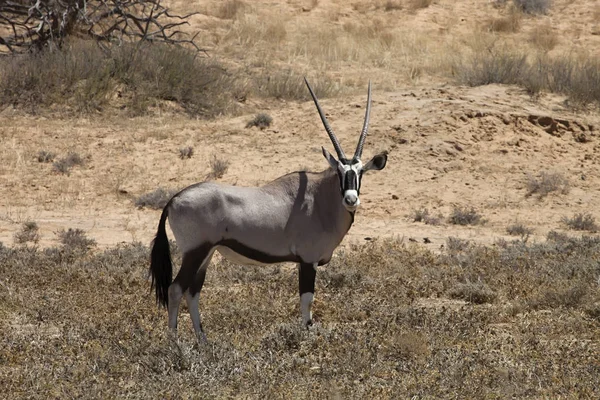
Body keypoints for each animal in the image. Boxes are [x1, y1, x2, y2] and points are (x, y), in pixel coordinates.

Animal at [148, 77, 386, 338]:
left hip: (206, 253)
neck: (320, 198)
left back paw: (203, 340)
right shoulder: (307, 260)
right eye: (340, 172)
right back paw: (175, 341)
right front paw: (306, 337)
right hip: (195, 251)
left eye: (360, 172)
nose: (351, 199)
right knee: (175, 289)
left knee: (193, 291)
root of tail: (174, 199)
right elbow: (307, 300)